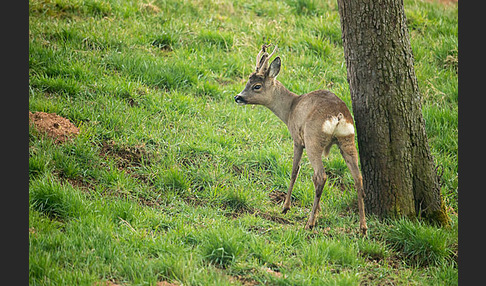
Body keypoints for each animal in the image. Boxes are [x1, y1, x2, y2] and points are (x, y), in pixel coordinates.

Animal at [234, 43, 366, 233]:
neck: (290, 108)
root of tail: (338, 116)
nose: (238, 97)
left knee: (320, 176)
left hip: (313, 139)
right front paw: (318, 209)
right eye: (247, 82)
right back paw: (363, 227)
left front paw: (286, 207)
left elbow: (294, 171)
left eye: (257, 86)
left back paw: (310, 223)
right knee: (357, 177)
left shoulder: (297, 139)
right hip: (347, 139)